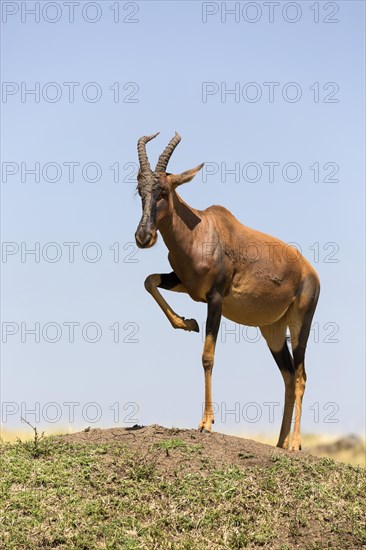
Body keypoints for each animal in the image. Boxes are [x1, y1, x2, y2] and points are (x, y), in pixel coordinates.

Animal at [135, 134, 320, 452]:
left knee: (300, 377)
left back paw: (295, 444)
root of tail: (311, 272)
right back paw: (279, 443)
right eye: (139, 190)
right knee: (287, 376)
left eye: (165, 190)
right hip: (273, 330)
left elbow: (207, 356)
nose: (143, 236)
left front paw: (206, 423)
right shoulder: (185, 284)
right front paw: (187, 323)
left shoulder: (216, 299)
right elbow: (149, 281)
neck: (201, 231)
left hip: (300, 323)